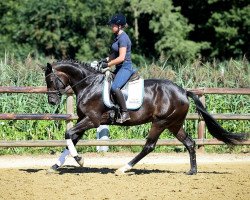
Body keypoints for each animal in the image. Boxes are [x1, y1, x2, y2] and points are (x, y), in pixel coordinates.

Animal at [44, 59, 247, 175]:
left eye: (51, 80)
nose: (52, 101)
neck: (89, 85)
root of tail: (183, 91)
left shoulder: (92, 120)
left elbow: (69, 134)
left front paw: (80, 160)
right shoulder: (83, 119)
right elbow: (71, 139)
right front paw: (54, 166)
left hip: (160, 122)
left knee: (149, 146)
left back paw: (123, 168)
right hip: (174, 124)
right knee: (189, 143)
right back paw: (192, 171)